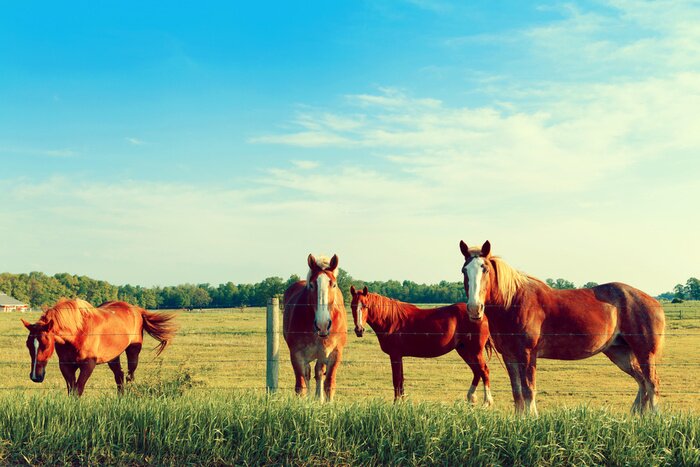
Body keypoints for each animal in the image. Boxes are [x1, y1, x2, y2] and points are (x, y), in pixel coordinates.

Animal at [21, 298, 178, 396]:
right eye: (28, 345)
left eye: (46, 344)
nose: (35, 376)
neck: (78, 332)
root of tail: (137, 310)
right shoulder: (66, 366)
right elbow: (71, 390)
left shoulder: (88, 365)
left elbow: (78, 389)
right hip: (113, 357)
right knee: (119, 376)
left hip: (133, 352)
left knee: (129, 376)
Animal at [283, 254, 347, 402]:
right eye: (311, 285)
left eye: (333, 284)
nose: (322, 324)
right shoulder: (297, 355)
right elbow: (301, 386)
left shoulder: (335, 353)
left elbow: (329, 384)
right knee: (308, 374)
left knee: (319, 373)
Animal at [350, 285, 494, 404]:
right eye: (352, 306)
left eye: (365, 306)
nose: (359, 330)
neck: (391, 320)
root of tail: (481, 315)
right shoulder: (399, 356)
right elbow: (401, 380)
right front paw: (402, 403)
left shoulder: (395, 356)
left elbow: (396, 380)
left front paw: (396, 404)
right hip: (464, 350)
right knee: (477, 371)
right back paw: (471, 399)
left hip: (474, 351)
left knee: (484, 370)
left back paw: (486, 403)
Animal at [459, 240, 666, 415]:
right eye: (464, 270)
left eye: (485, 269)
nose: (474, 308)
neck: (513, 303)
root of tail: (654, 302)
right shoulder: (509, 356)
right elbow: (517, 392)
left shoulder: (528, 354)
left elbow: (528, 389)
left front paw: (532, 419)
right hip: (620, 354)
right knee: (642, 382)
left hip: (644, 353)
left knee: (652, 383)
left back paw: (654, 418)